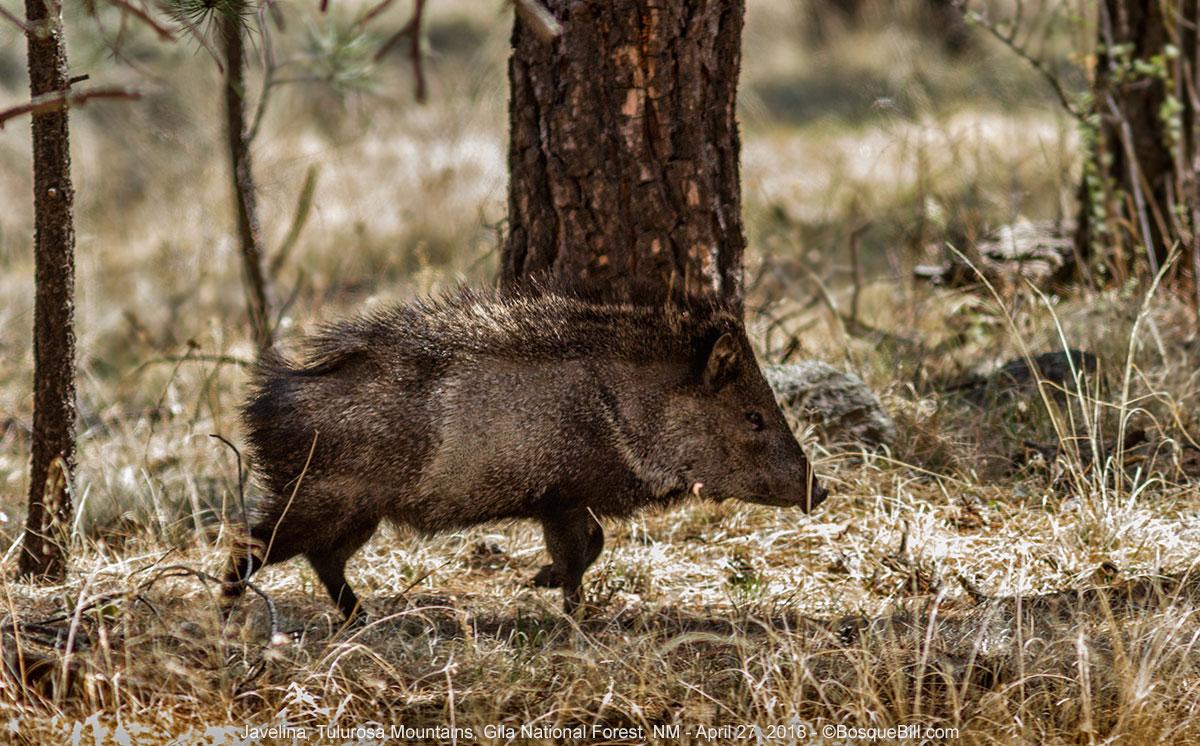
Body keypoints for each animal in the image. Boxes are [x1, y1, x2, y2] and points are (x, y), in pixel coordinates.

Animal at [223, 288, 826, 622]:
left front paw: (543, 585)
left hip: (355, 513)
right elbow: (579, 553)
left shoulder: (563, 501)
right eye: (753, 417)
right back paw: (228, 610)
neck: (627, 410)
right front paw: (569, 612)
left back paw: (360, 619)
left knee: (323, 560)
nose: (820, 489)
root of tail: (264, 404)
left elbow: (592, 545)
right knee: (252, 542)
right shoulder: (562, 498)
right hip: (325, 498)